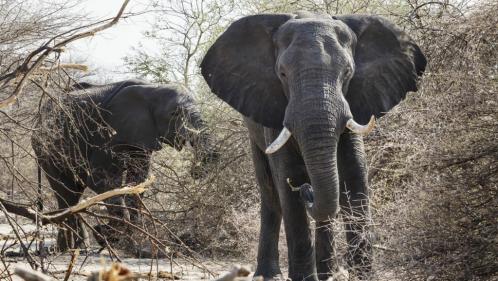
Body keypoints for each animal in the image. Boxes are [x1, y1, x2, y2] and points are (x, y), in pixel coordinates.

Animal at [31, 78, 218, 254]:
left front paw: (127, 243)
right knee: (66, 193)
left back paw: (75, 248)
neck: (152, 88)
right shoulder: (107, 133)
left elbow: (138, 181)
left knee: (74, 194)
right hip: (46, 149)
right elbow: (100, 179)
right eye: (174, 113)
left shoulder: (142, 137)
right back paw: (69, 249)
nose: (195, 171)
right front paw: (105, 235)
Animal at [200, 11, 426, 280]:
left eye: (348, 73)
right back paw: (269, 274)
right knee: (270, 193)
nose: (308, 190)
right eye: (282, 74)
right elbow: (288, 184)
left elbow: (354, 180)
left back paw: (328, 274)